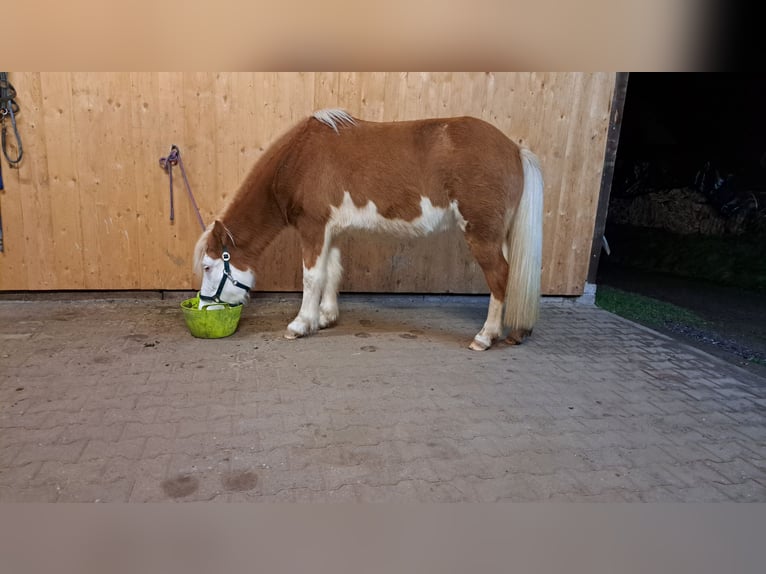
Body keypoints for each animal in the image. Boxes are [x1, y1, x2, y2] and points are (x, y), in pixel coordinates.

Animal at [194, 109, 543, 350]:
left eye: (209, 266)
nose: (204, 305)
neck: (300, 158)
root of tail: (515, 150)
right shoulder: (331, 231)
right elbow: (332, 272)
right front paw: (325, 318)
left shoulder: (313, 227)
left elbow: (312, 277)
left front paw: (301, 324)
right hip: (499, 235)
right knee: (509, 275)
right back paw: (513, 332)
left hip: (481, 233)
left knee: (499, 276)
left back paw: (485, 337)